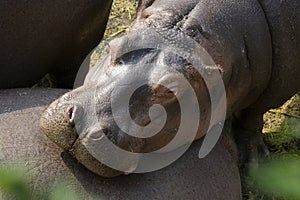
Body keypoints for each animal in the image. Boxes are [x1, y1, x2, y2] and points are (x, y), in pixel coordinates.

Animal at [40, 0, 300, 177]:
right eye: (115, 45)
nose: (84, 125)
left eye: (172, 90)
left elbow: (252, 114)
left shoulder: (279, 88)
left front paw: (255, 165)